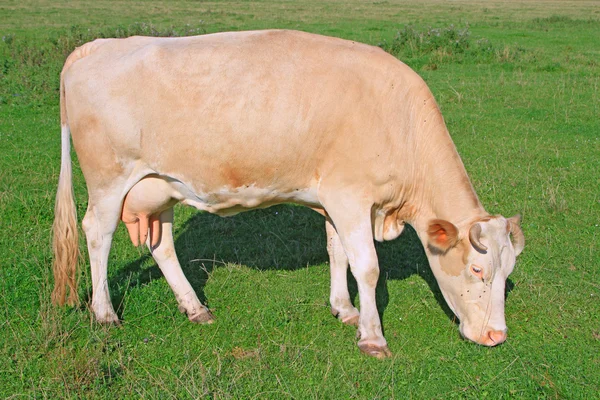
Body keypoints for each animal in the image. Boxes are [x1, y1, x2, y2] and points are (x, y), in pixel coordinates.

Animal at [51, 29, 524, 358]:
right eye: (478, 270)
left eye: (507, 274)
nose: (496, 336)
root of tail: (95, 46)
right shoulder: (351, 198)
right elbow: (368, 267)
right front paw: (372, 337)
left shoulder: (334, 200)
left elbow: (338, 253)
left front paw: (344, 309)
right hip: (109, 181)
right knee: (96, 233)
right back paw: (105, 313)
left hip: (160, 187)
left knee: (162, 246)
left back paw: (195, 308)